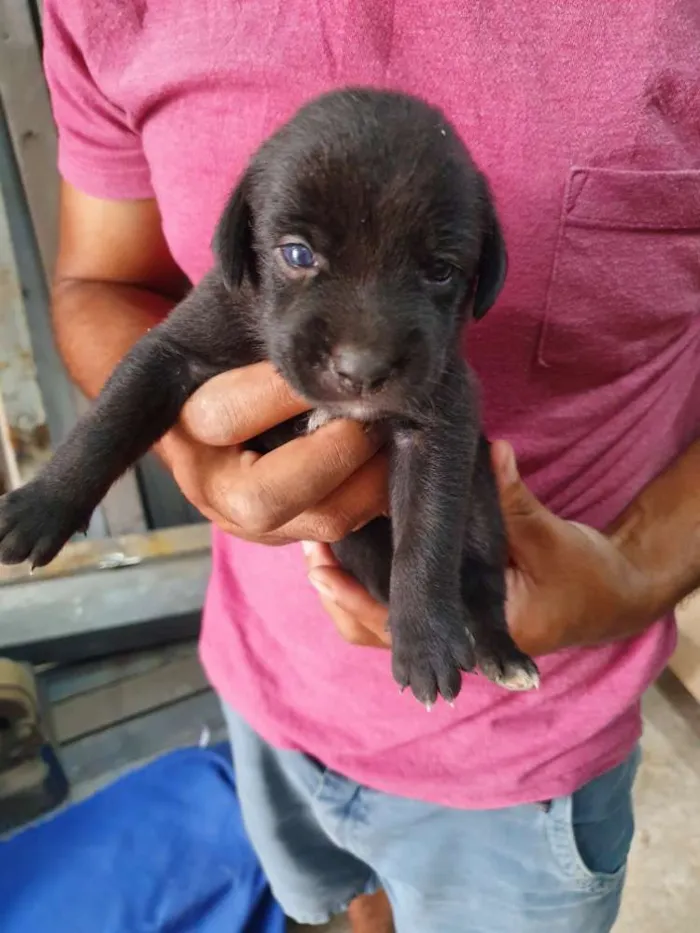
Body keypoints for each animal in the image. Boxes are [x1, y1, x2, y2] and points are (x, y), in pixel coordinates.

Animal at [0, 89, 536, 708]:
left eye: (441, 271)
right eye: (298, 255)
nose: (362, 370)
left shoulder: (442, 416)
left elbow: (426, 535)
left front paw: (425, 637)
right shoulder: (169, 352)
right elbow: (110, 422)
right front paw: (43, 504)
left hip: (480, 503)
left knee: (478, 577)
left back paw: (498, 649)